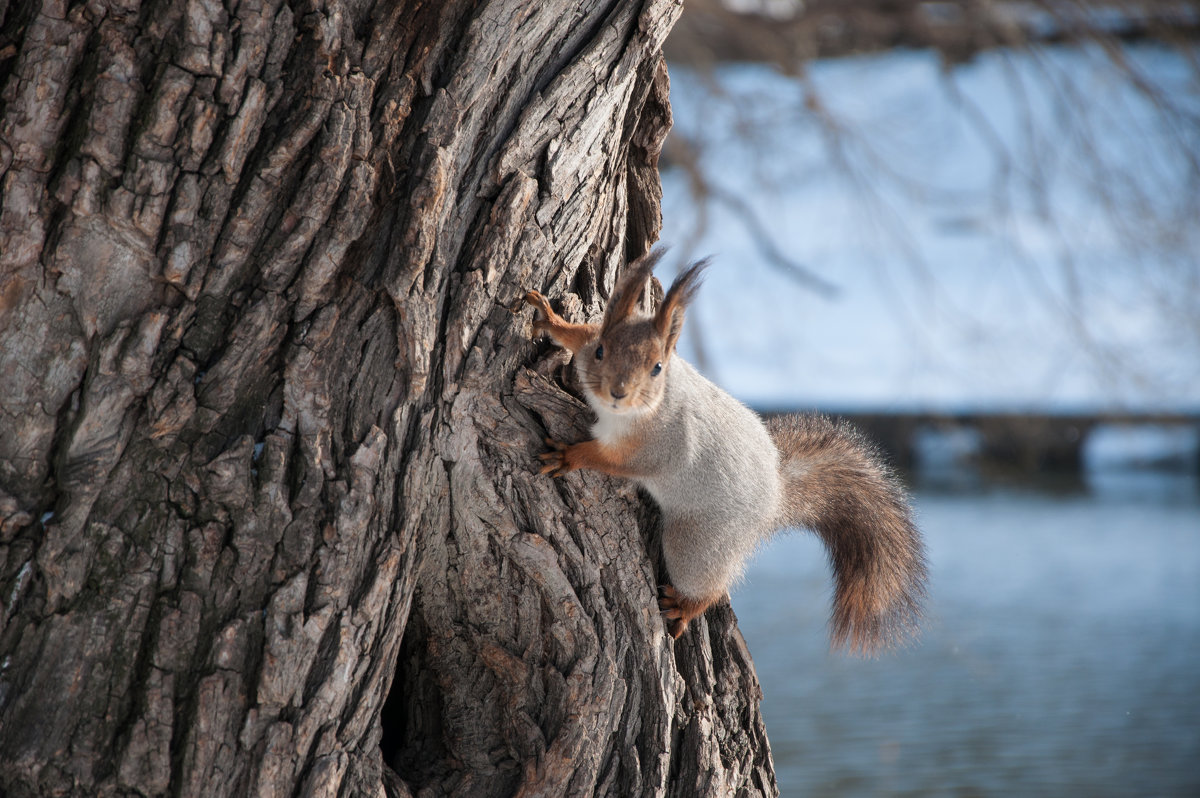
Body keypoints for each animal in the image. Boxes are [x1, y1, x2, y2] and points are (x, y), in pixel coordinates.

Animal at [525, 250, 926, 652]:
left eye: (657, 368)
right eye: (601, 351)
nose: (618, 392)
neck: (638, 409)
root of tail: (775, 499)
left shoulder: (659, 446)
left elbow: (615, 460)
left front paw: (570, 457)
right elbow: (579, 335)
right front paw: (552, 320)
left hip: (697, 544)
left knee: (709, 585)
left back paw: (686, 608)